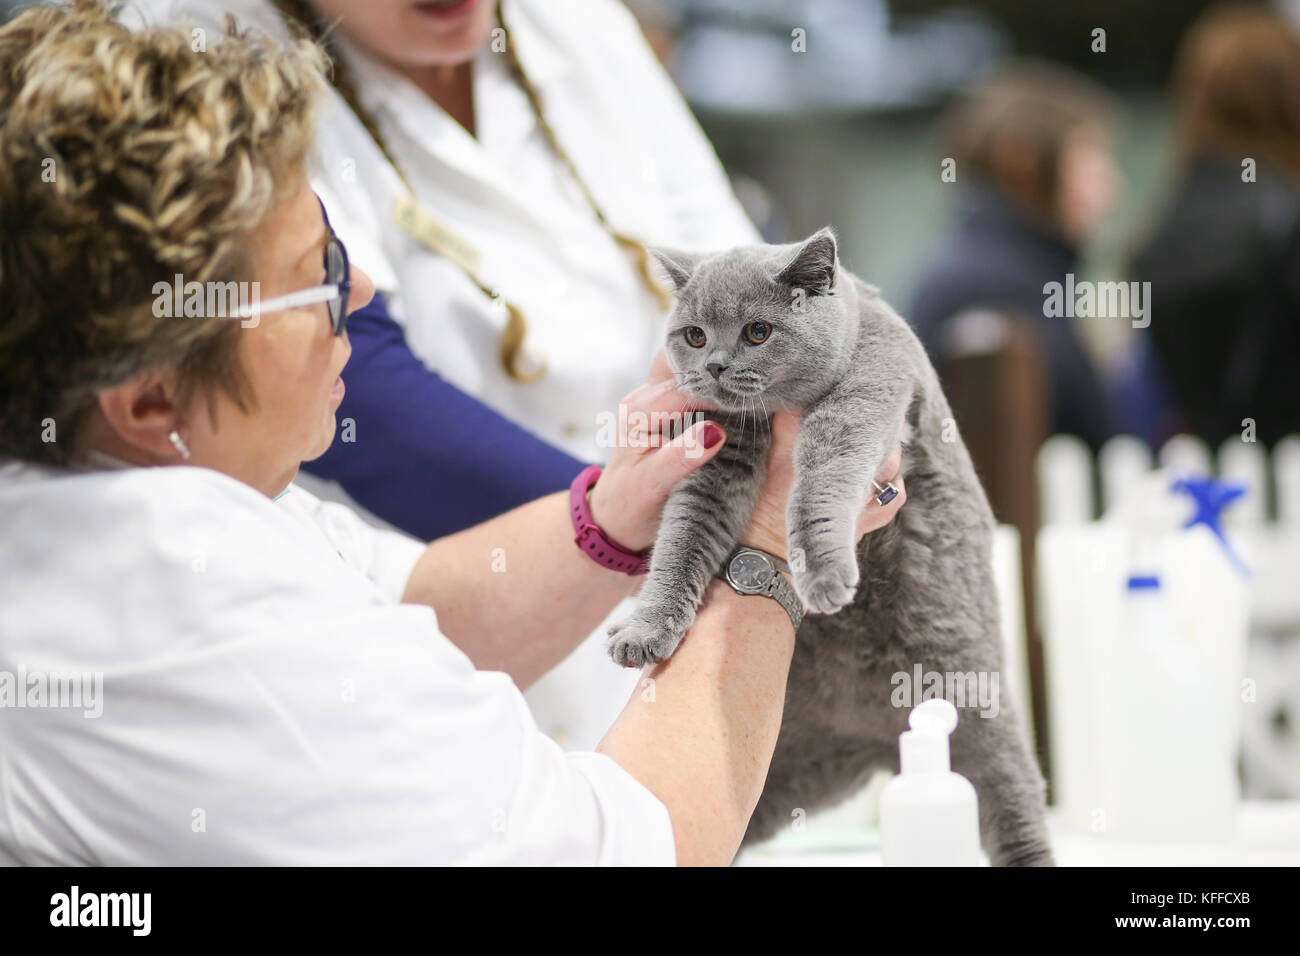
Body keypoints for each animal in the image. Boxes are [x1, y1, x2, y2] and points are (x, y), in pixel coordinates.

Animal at [608, 230, 1055, 868]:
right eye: (693, 336)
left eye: (758, 332)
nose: (714, 364)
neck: (772, 417)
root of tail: (884, 736)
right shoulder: (715, 449)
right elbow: (683, 535)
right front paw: (646, 630)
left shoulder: (865, 393)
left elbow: (821, 476)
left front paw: (822, 573)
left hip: (984, 721)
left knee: (1017, 814)